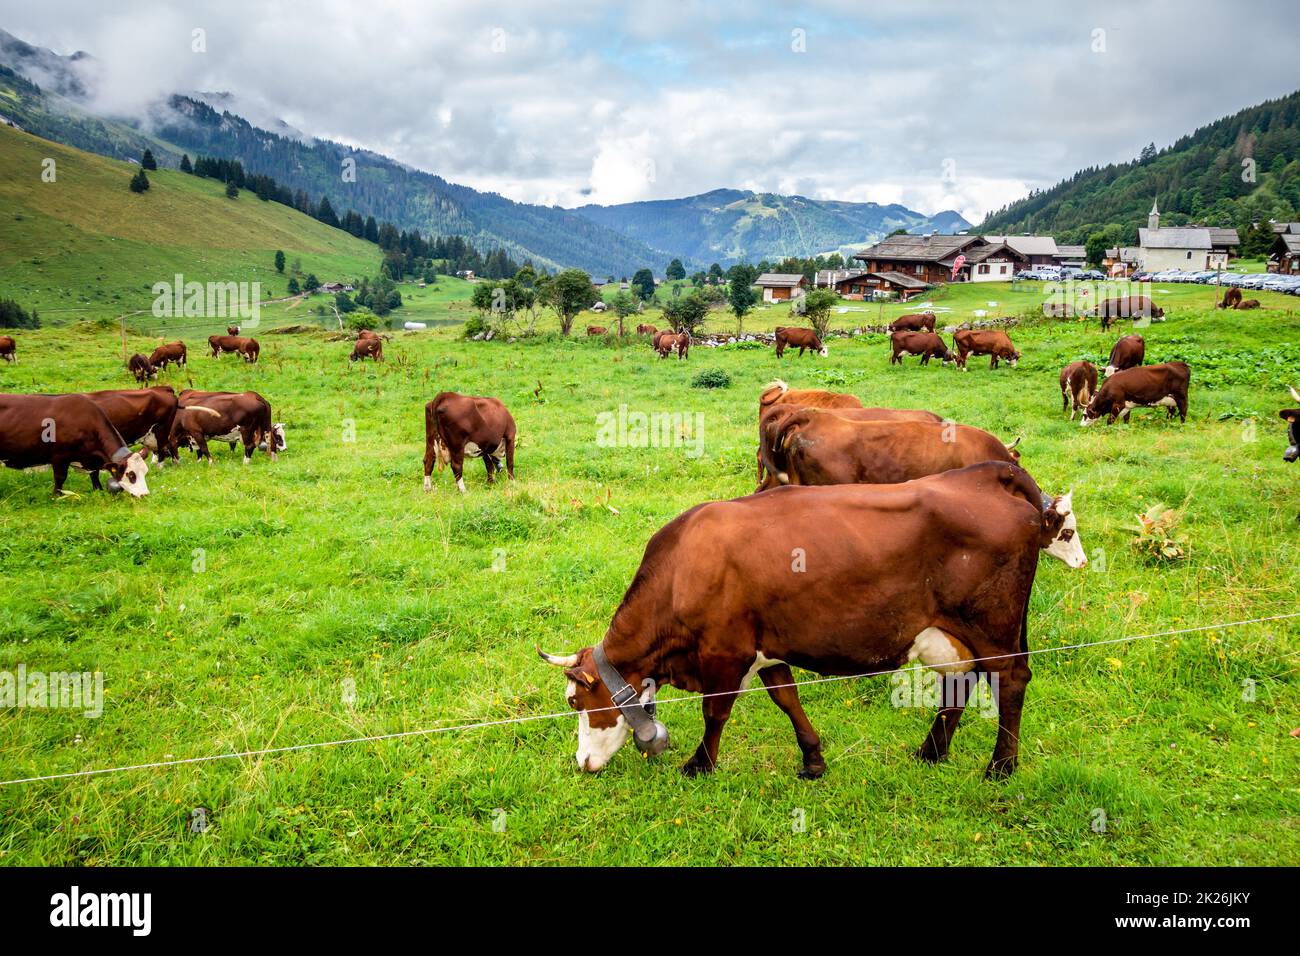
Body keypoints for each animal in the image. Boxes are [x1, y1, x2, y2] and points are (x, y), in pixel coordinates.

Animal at [0, 393, 150, 496]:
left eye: (144, 472)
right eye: (131, 475)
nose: (145, 495)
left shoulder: (91, 459)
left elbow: (94, 475)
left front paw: (98, 490)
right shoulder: (59, 456)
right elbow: (60, 477)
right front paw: (56, 496)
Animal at [538, 461, 1086, 778]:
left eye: (574, 701)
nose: (582, 764)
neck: (682, 571)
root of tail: (985, 476)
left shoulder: (724, 652)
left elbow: (716, 712)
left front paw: (699, 764)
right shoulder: (765, 646)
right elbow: (787, 699)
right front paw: (813, 759)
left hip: (993, 627)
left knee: (1010, 680)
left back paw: (1000, 766)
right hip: (957, 632)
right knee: (962, 681)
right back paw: (932, 752)